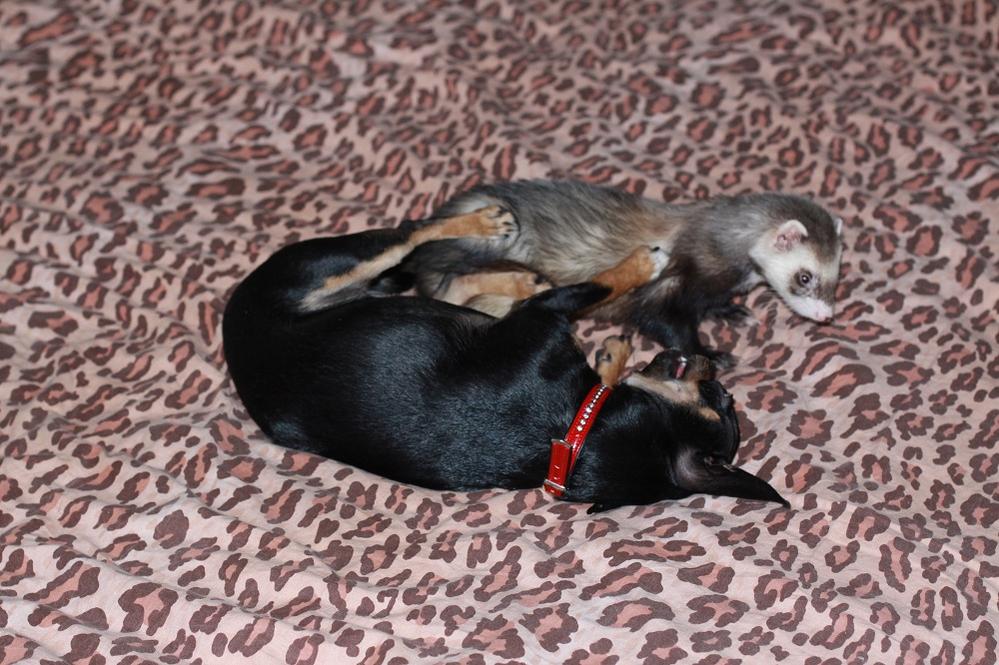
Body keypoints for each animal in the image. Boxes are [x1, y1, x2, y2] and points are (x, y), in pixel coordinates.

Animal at [222, 206, 788, 511]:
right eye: (723, 398)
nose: (711, 366)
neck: (573, 433)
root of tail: (235, 324)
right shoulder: (541, 320)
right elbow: (600, 284)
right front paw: (639, 272)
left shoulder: (534, 323)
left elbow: (594, 299)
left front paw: (614, 348)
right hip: (340, 266)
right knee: (416, 239)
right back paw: (491, 231)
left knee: (441, 269)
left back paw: (510, 260)